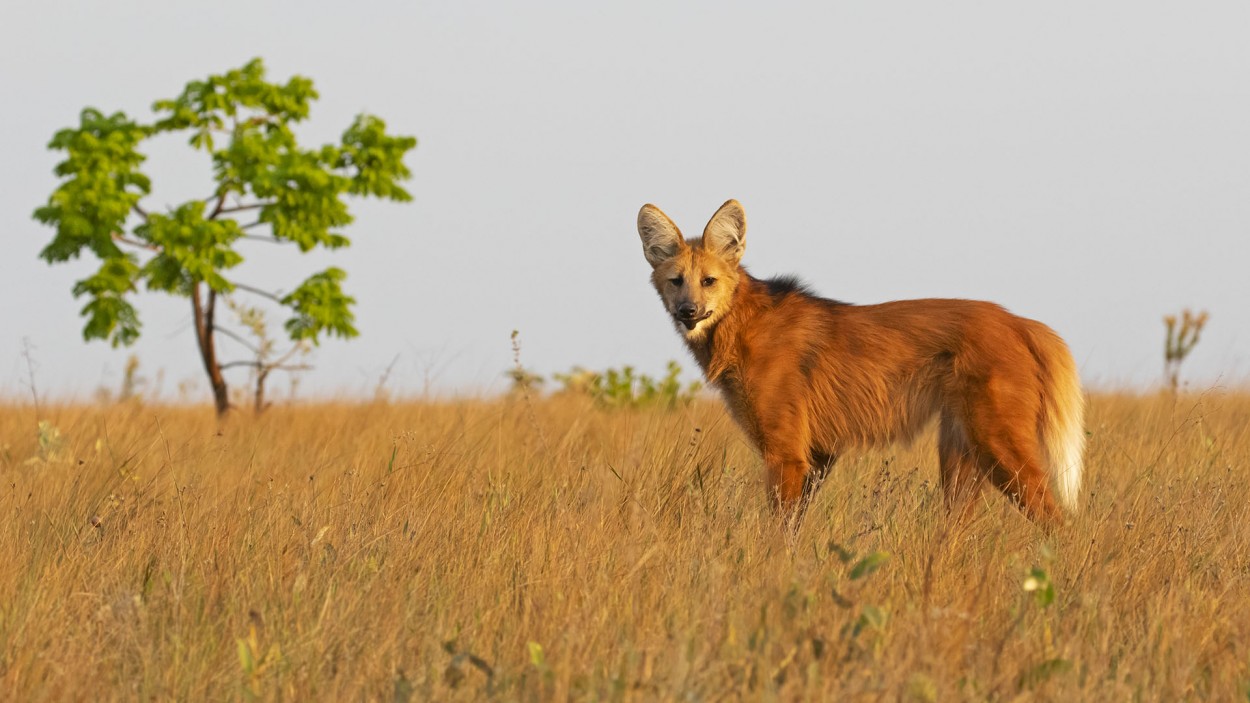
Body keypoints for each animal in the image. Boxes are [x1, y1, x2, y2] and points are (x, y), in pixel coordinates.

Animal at [635, 200, 1085, 522]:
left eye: (708, 281)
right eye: (676, 281)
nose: (688, 311)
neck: (741, 326)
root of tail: (1021, 321)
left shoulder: (787, 454)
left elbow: (778, 534)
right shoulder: (816, 455)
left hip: (998, 446)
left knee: (1056, 521)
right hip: (960, 450)